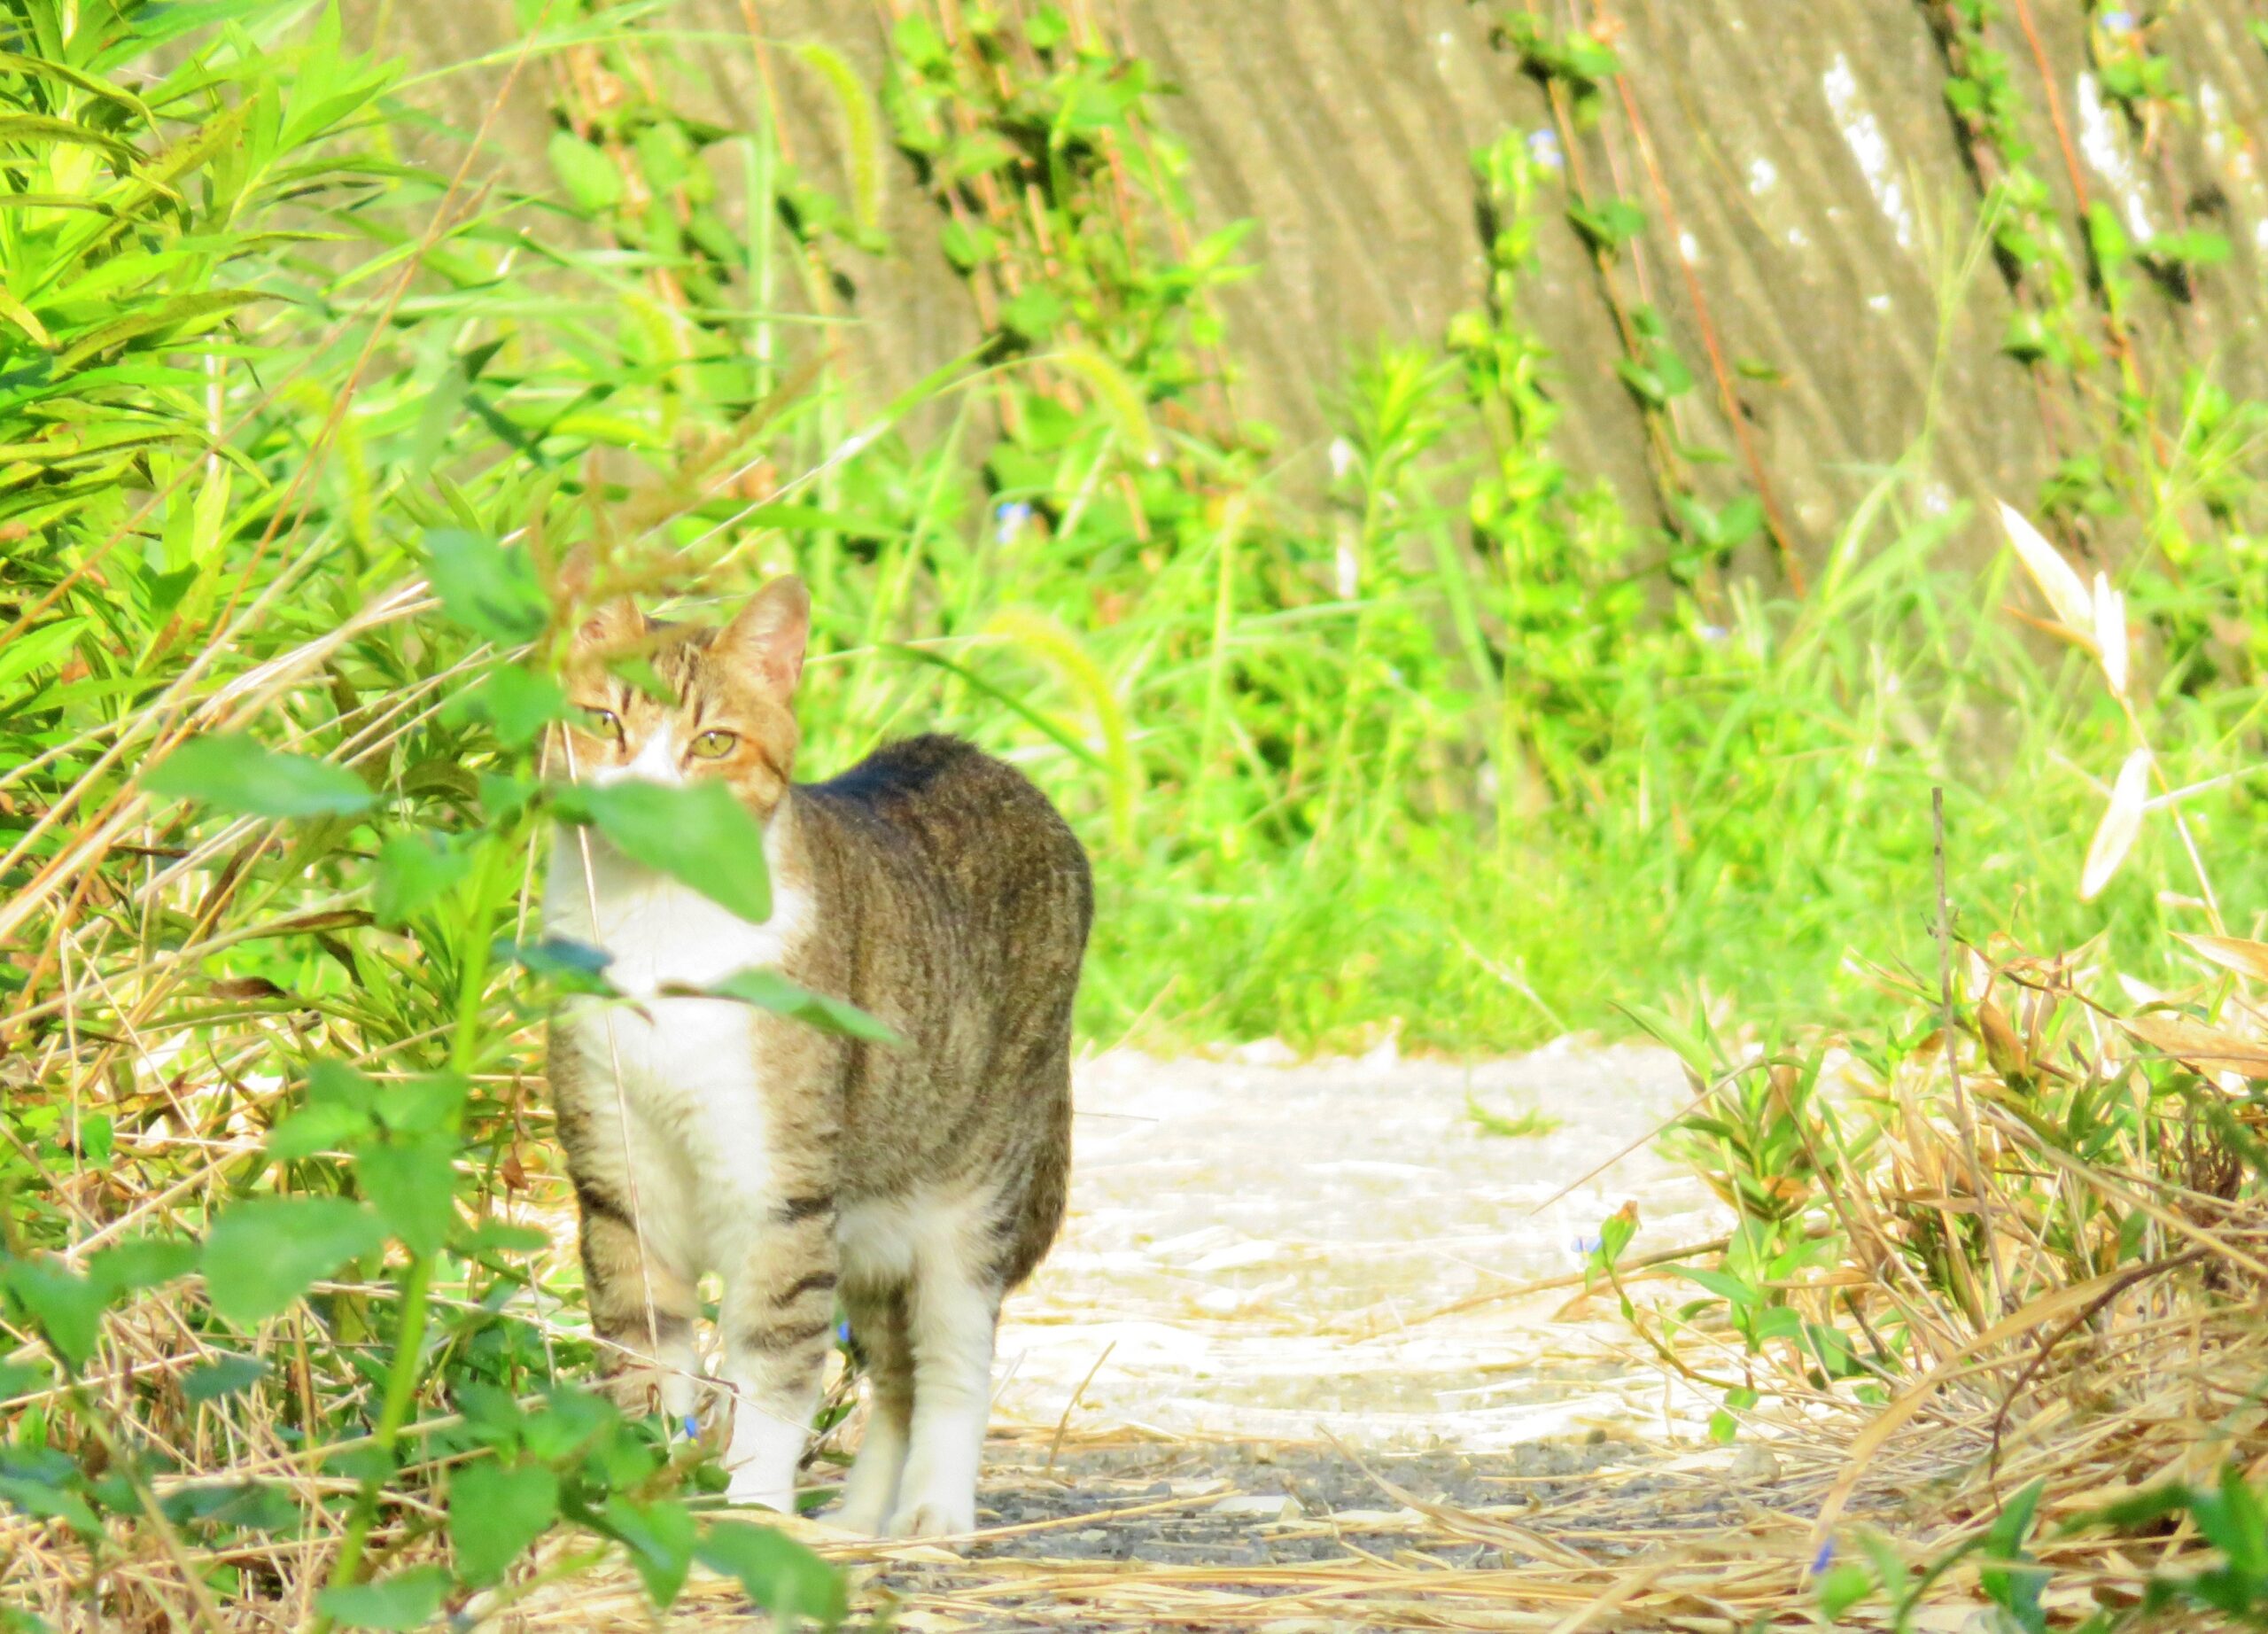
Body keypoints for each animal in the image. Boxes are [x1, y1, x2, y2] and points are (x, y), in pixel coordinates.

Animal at [540, 573, 1088, 1534]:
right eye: (602, 721)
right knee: (895, 1376)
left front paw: (753, 1514)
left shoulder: (780, 1193)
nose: (645, 798)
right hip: (867, 1217)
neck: (655, 933)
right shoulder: (618, 1183)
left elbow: (772, 1367)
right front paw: (640, 1499)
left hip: (971, 1199)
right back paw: (857, 1522)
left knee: (951, 1360)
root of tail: (994, 764)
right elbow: (643, 1360)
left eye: (713, 741)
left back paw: (931, 1516)